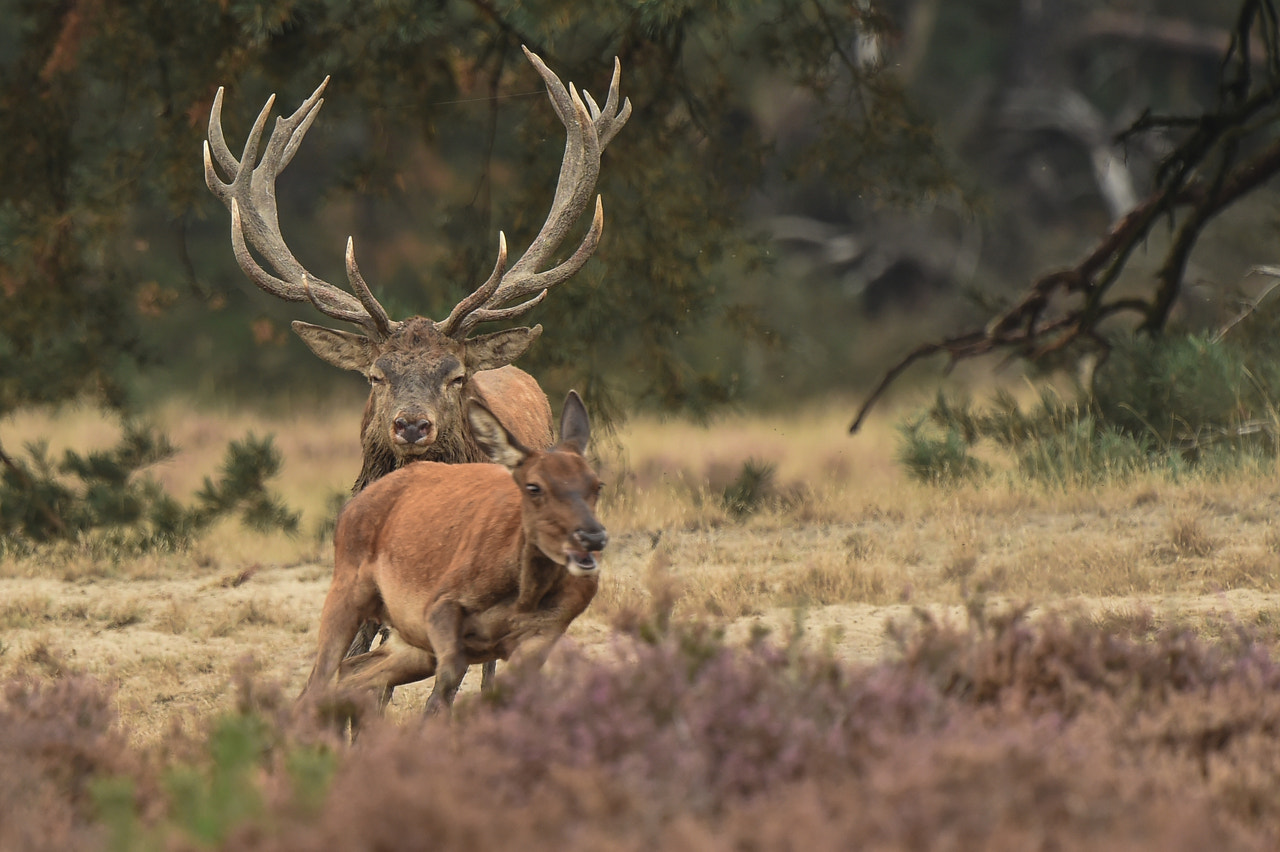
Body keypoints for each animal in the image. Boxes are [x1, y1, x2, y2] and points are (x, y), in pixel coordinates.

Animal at [296, 388, 606, 711]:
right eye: (534, 487)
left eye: (597, 485)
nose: (592, 538)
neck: (523, 596)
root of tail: (352, 504)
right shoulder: (441, 605)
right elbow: (446, 686)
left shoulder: (549, 629)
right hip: (347, 591)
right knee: (319, 680)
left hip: (408, 640)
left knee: (353, 670)